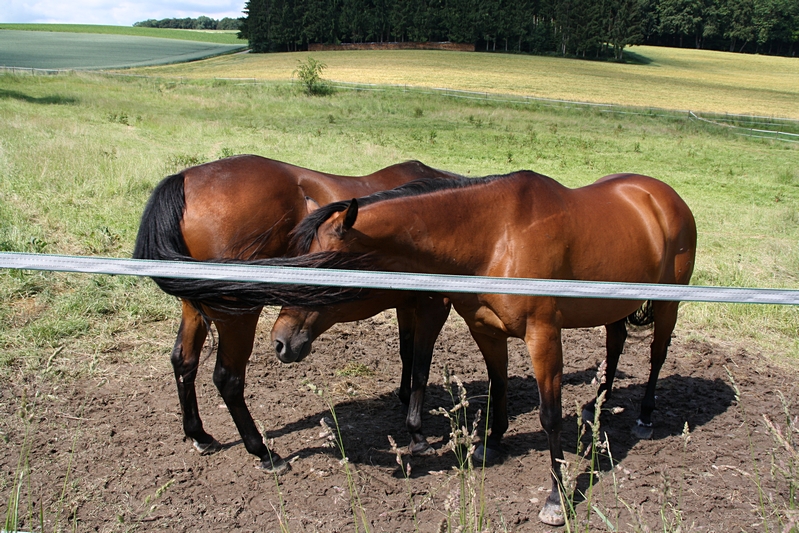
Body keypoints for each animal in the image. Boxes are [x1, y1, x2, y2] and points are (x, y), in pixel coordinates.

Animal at [132, 155, 456, 474]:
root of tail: (185, 179)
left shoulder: (408, 302)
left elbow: (407, 352)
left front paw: (404, 399)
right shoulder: (435, 303)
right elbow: (421, 365)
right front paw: (417, 433)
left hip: (196, 308)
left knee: (184, 361)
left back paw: (200, 435)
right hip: (237, 315)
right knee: (228, 378)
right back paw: (264, 453)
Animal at [276, 171, 700, 524]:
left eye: (322, 266)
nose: (281, 340)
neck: (497, 237)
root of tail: (664, 196)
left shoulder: (544, 336)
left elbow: (549, 417)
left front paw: (556, 498)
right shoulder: (486, 331)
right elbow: (499, 388)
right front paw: (491, 443)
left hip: (668, 305)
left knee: (657, 355)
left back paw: (645, 416)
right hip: (615, 303)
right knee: (615, 343)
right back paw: (597, 403)